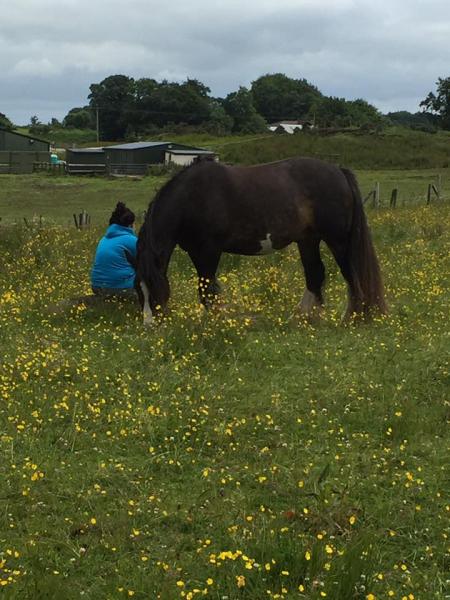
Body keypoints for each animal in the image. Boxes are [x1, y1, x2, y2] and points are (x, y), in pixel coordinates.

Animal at [130, 156, 386, 324]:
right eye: (137, 289)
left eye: (154, 286)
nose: (149, 324)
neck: (191, 196)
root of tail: (339, 171)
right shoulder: (195, 251)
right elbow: (208, 289)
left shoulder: (209, 250)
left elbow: (207, 290)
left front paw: (215, 324)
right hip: (308, 240)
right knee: (315, 275)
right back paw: (303, 318)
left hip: (338, 241)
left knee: (352, 277)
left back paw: (352, 319)